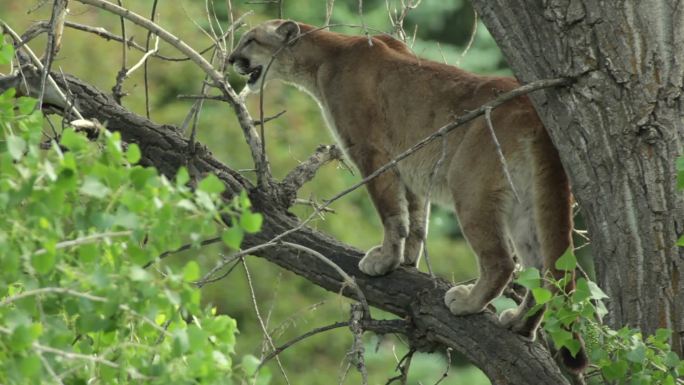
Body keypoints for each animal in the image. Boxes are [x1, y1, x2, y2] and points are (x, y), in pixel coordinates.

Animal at [230, 19, 588, 368]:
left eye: (250, 39)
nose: (231, 59)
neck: (324, 58)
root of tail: (536, 111)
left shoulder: (372, 154)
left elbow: (392, 215)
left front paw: (385, 261)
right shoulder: (411, 169)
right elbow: (416, 220)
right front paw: (406, 261)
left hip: (469, 185)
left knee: (503, 262)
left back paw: (467, 302)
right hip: (527, 201)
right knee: (547, 273)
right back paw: (520, 324)